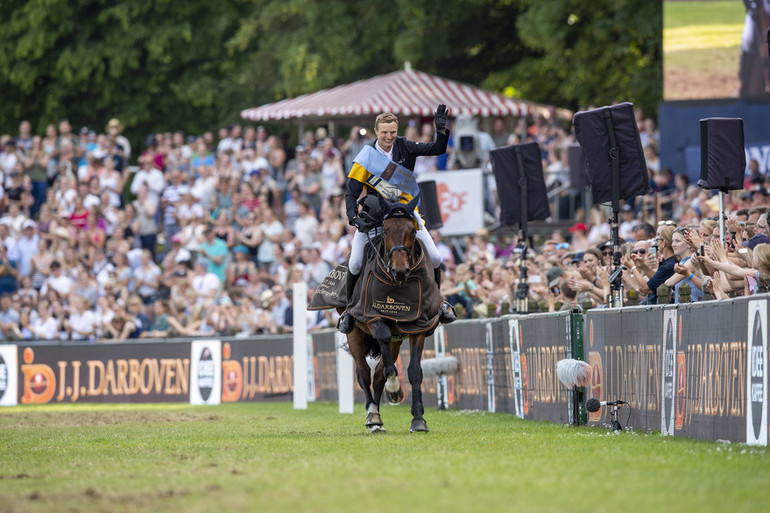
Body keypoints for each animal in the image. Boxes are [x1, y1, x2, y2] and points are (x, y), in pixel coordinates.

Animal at [340, 194, 436, 434]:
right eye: (385, 230)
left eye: (412, 230)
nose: (400, 270)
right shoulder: (372, 318)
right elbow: (384, 357)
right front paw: (394, 390)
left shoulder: (419, 325)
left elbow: (414, 371)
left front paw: (418, 419)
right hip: (354, 333)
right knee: (364, 373)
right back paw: (373, 417)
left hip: (396, 339)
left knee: (377, 375)